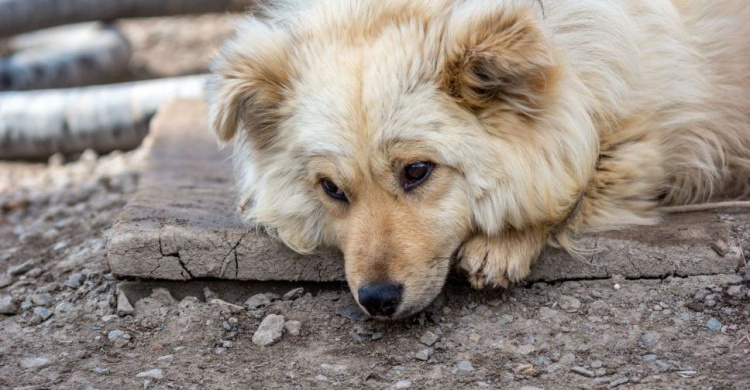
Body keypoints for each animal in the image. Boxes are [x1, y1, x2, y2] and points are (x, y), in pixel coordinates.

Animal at [207, 0, 750, 318]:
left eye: (417, 171)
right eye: (332, 189)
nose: (377, 301)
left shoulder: (640, 143)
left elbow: (570, 184)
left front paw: (503, 242)